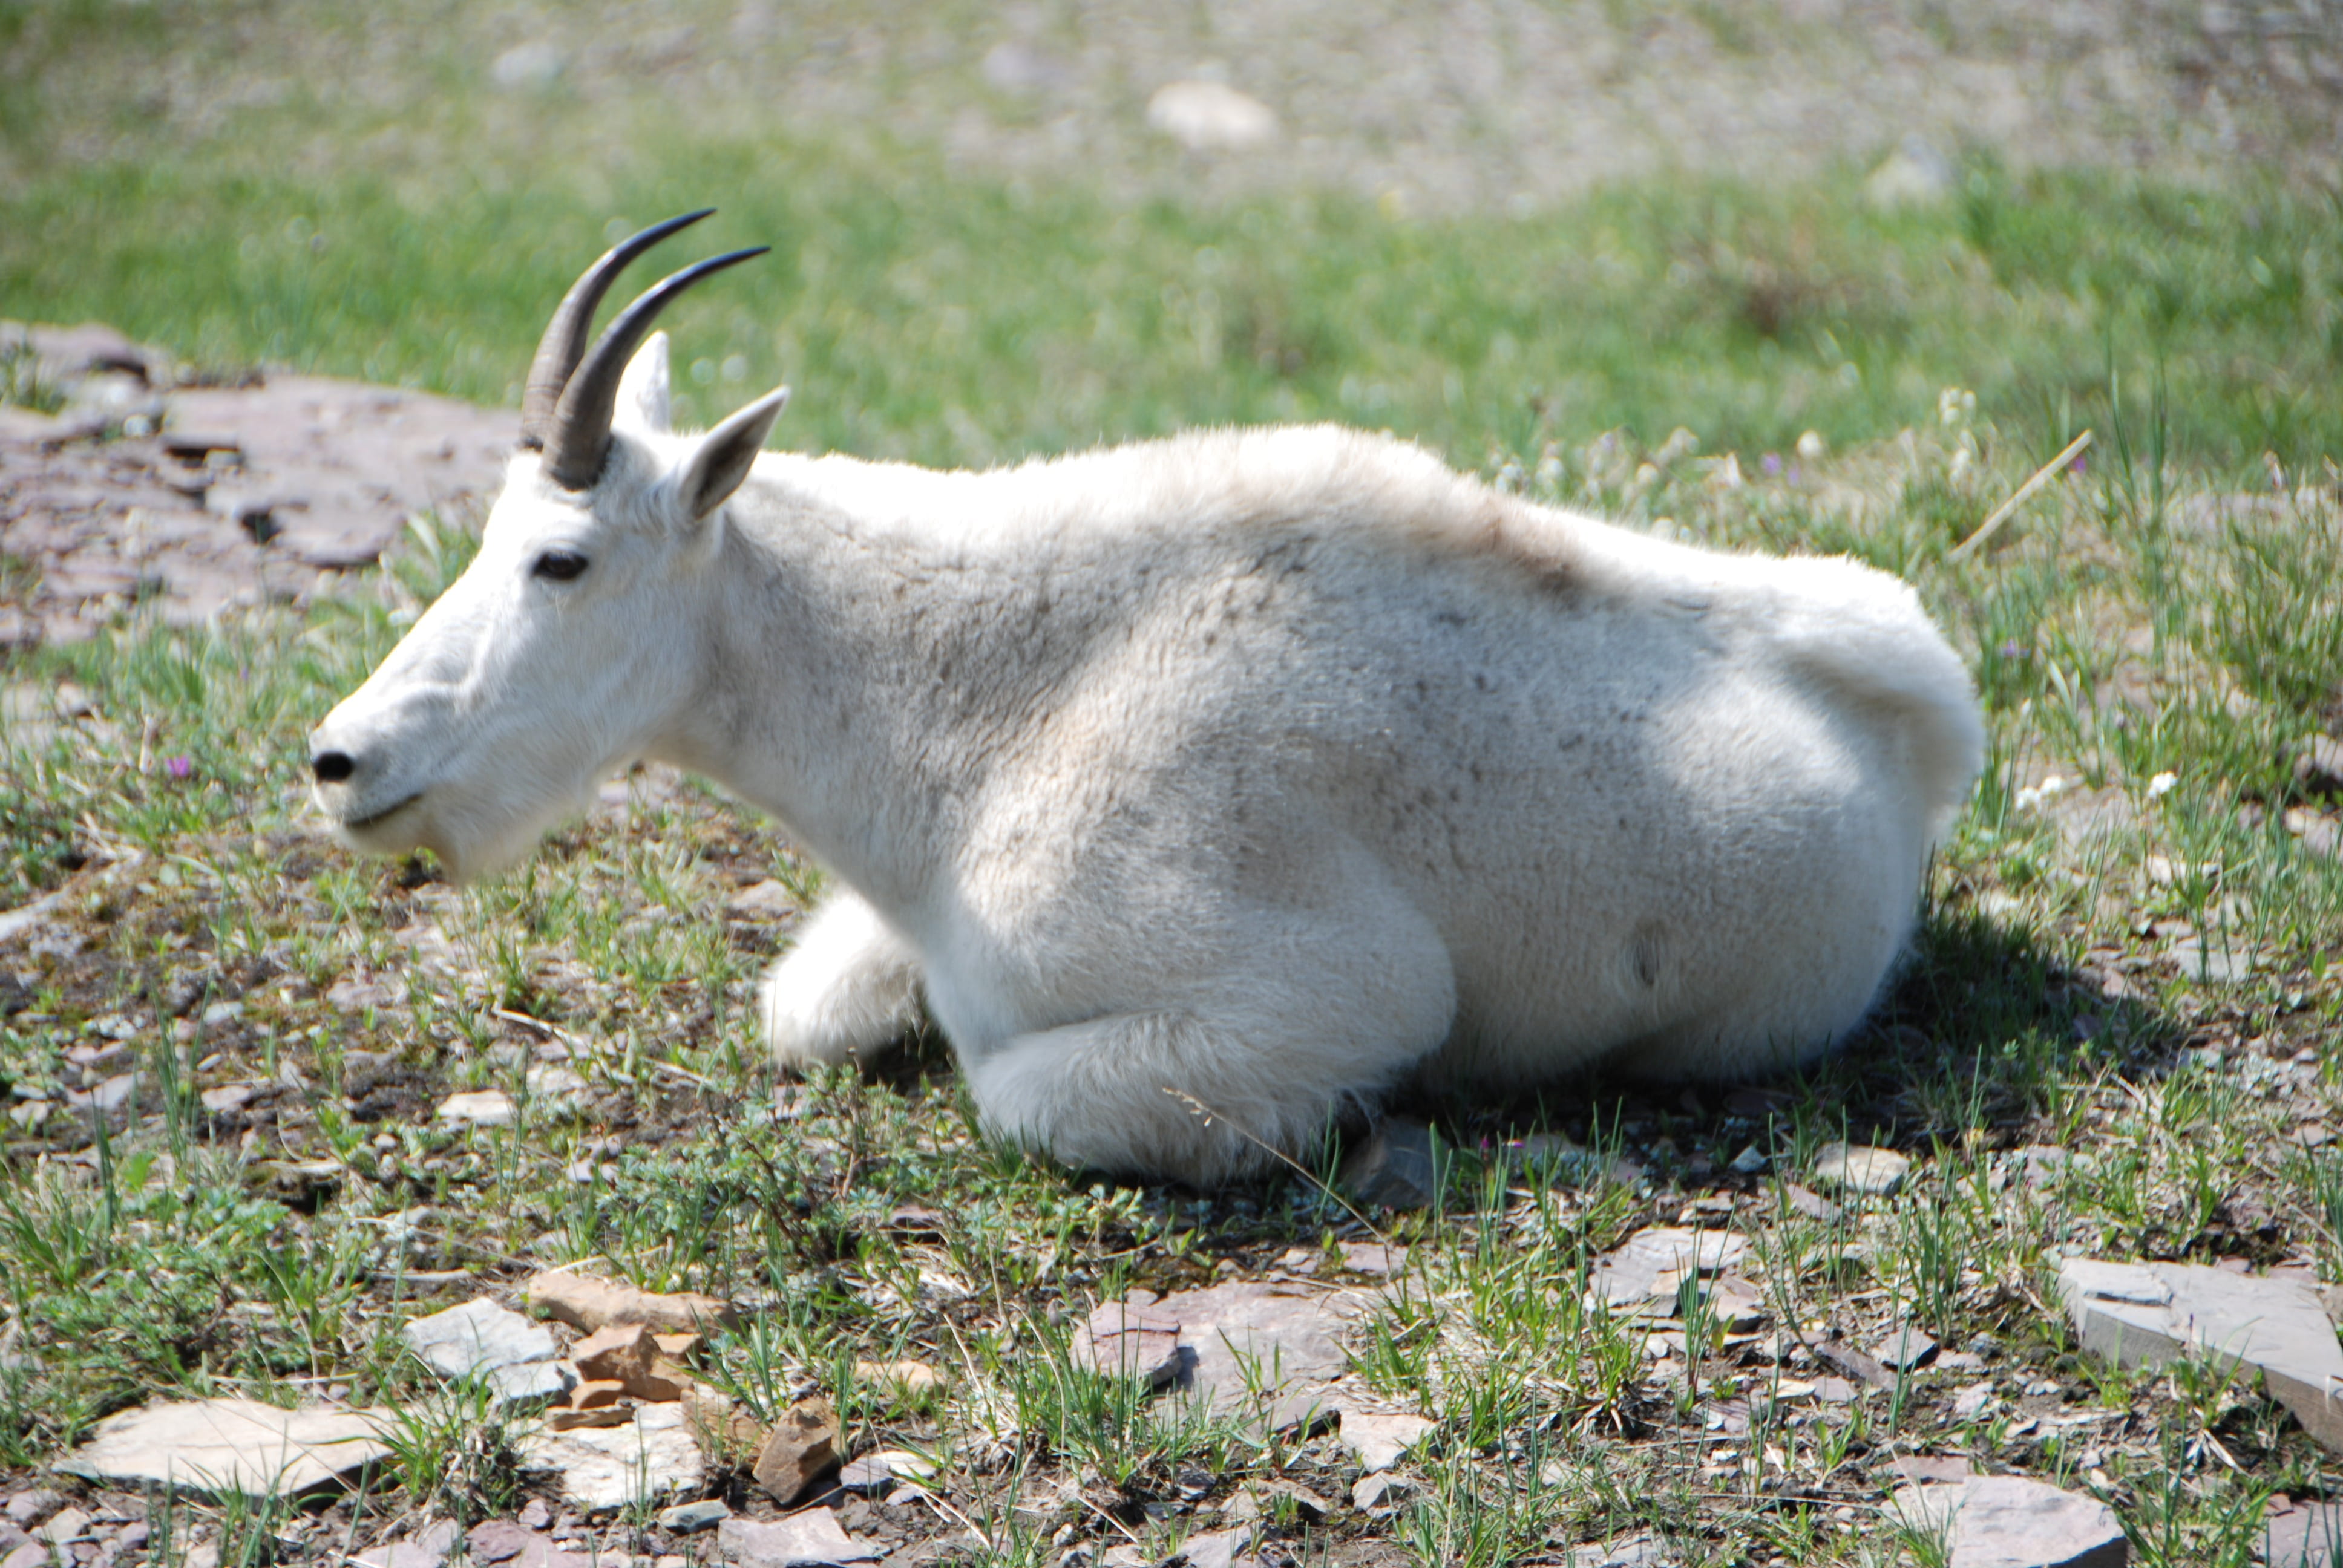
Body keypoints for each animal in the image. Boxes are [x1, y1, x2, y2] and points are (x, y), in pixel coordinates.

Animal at [311, 211, 1987, 1186]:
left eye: (563, 559)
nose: (341, 760)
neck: (964, 703)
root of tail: (1921, 716)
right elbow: (807, 1007)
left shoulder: (1333, 987)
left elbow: (1015, 1090)